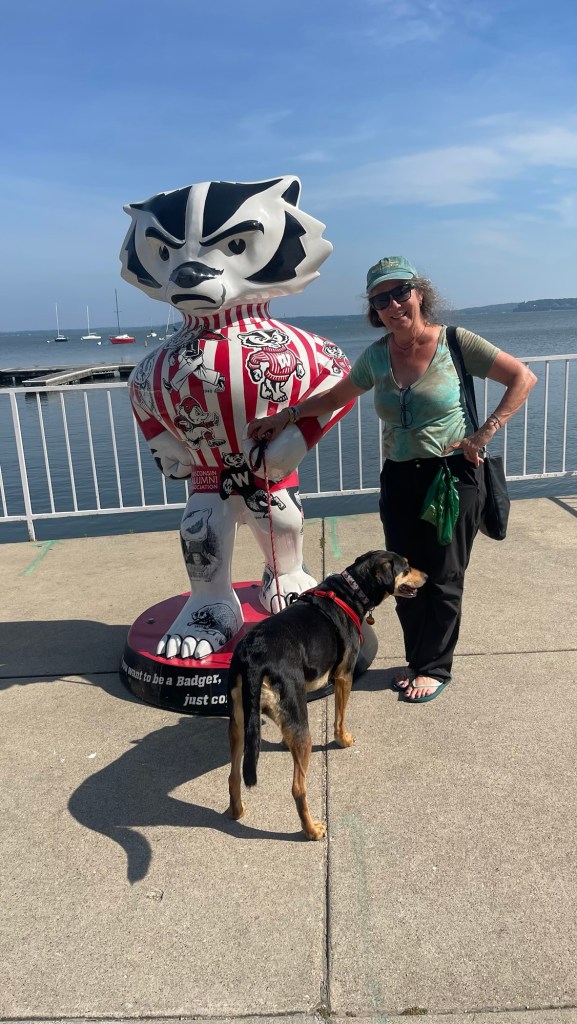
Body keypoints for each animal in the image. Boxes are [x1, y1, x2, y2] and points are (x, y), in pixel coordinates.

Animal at [226, 549, 427, 840]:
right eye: (407, 567)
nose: (427, 576)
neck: (351, 590)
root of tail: (253, 657)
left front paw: (285, 743)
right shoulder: (344, 677)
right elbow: (339, 718)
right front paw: (343, 740)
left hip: (238, 721)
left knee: (233, 775)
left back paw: (237, 811)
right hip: (300, 728)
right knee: (298, 788)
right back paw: (312, 830)